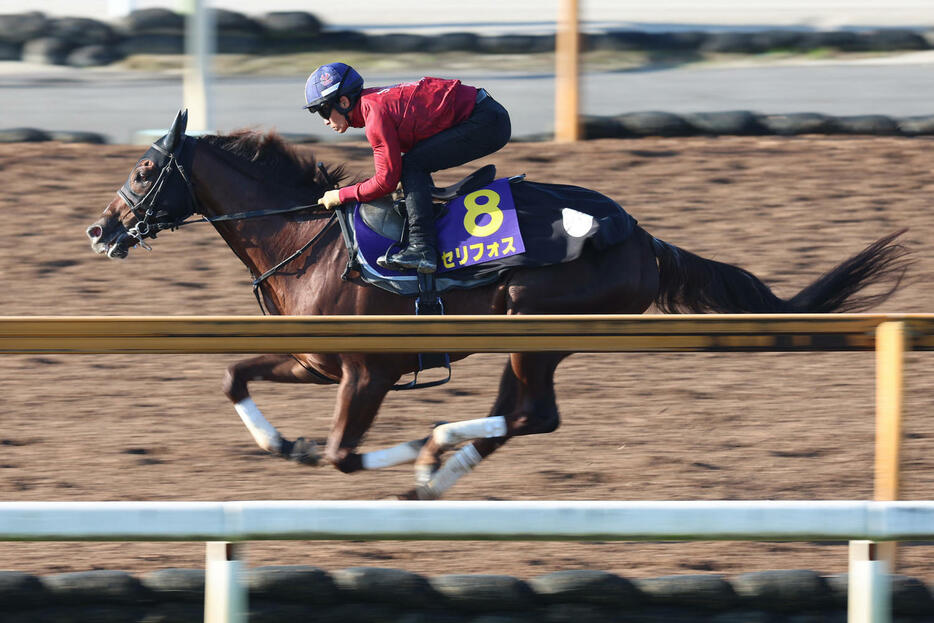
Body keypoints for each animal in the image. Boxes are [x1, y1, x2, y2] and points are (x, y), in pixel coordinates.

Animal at [86, 112, 908, 500]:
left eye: (146, 169)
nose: (100, 229)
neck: (306, 236)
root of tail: (643, 236)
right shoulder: (314, 360)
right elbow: (233, 375)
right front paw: (281, 443)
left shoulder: (370, 369)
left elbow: (344, 454)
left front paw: (380, 449)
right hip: (527, 335)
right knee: (519, 414)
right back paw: (434, 470)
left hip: (534, 321)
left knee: (532, 414)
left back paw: (434, 449)